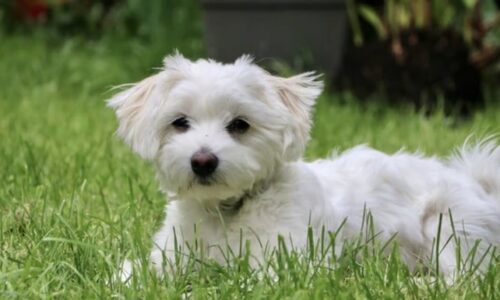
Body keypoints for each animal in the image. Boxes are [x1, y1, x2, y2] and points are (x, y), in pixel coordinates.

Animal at [109, 53, 500, 278]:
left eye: (240, 125)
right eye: (179, 122)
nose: (202, 161)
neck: (226, 212)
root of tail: (477, 182)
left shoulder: (288, 260)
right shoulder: (171, 255)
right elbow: (136, 273)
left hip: (449, 225)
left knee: (461, 277)